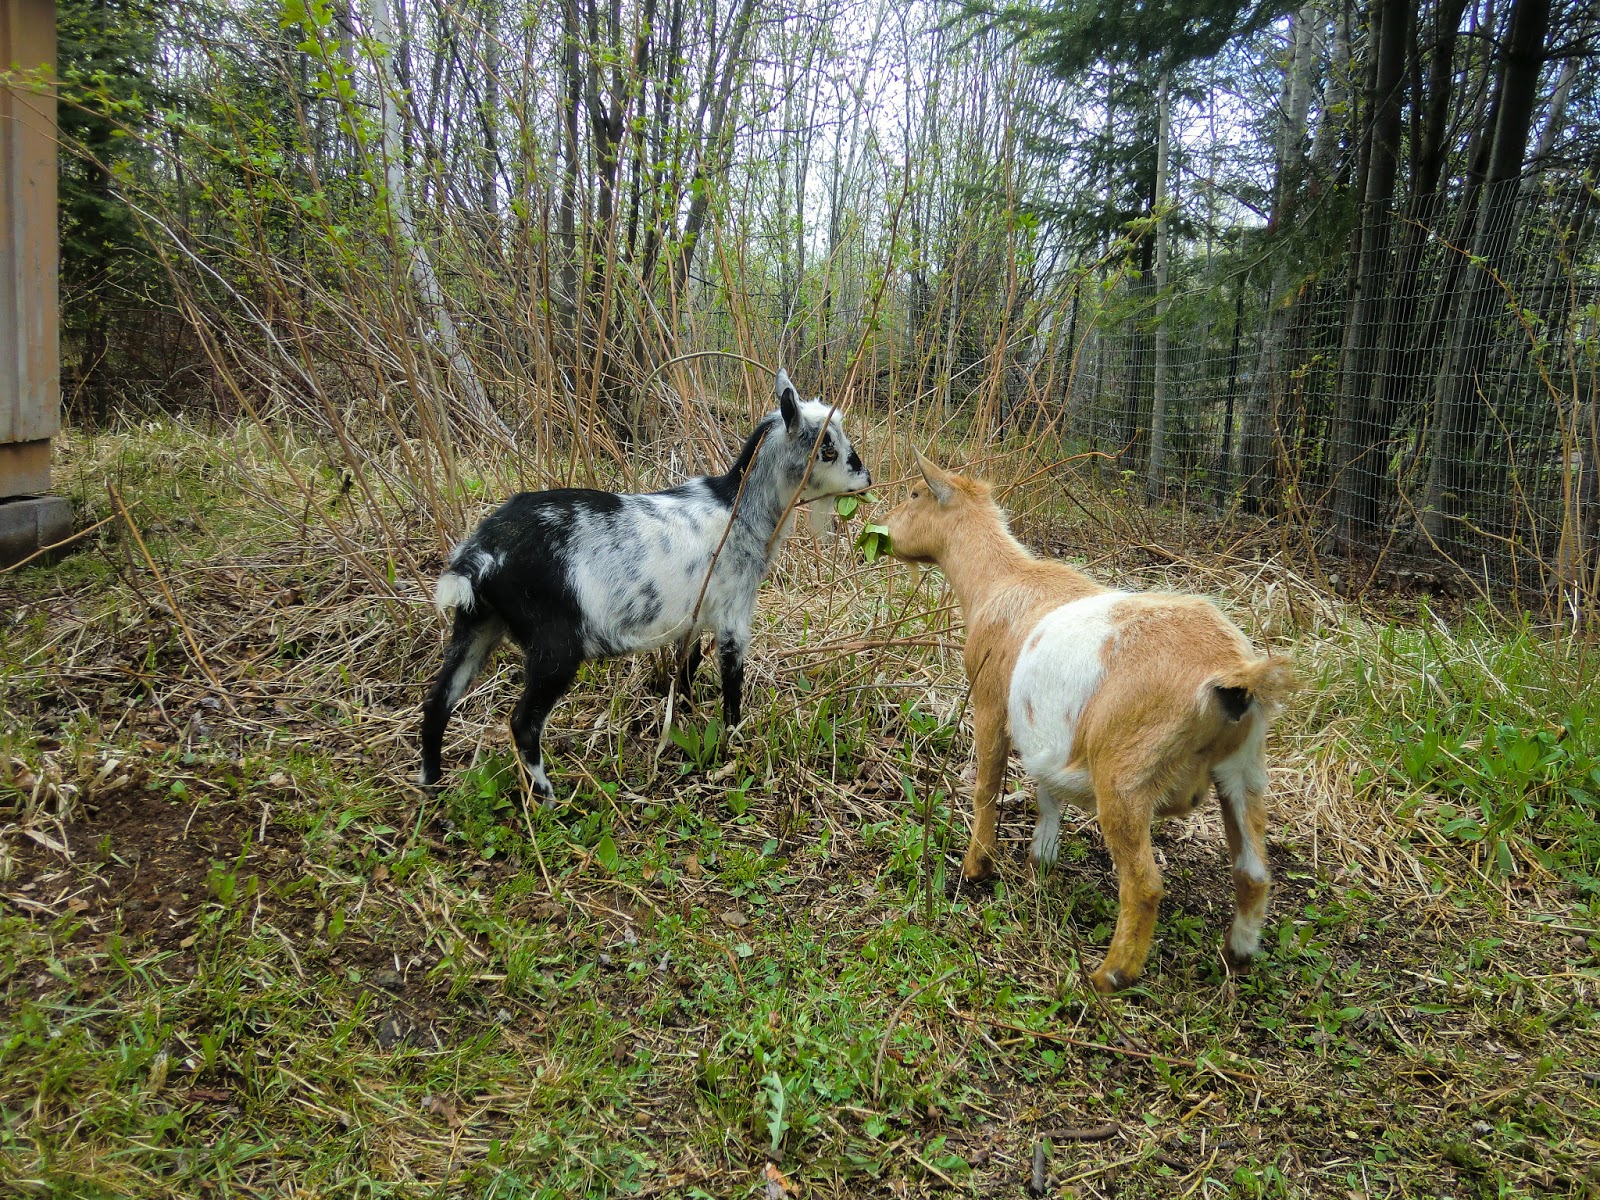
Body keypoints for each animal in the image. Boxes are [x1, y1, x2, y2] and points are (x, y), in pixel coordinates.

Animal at [419, 370, 872, 796]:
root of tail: (482, 553)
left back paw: (432, 787)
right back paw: (547, 797)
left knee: (438, 701)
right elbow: (731, 683)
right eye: (828, 449)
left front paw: (684, 716)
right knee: (523, 723)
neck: (740, 510)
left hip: (477, 622)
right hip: (555, 645)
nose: (865, 478)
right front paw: (734, 741)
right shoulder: (733, 615)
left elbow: (687, 666)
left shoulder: (694, 617)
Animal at [884, 454, 1294, 992]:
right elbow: (1046, 794)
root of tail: (1233, 675)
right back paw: (1238, 955)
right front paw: (1040, 861)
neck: (999, 582)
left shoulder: (991, 702)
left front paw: (977, 869)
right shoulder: (1048, 736)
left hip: (1125, 774)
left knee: (1143, 884)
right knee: (1253, 871)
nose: (881, 528)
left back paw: (1109, 976)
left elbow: (987, 785)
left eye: (914, 493)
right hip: (1244, 770)